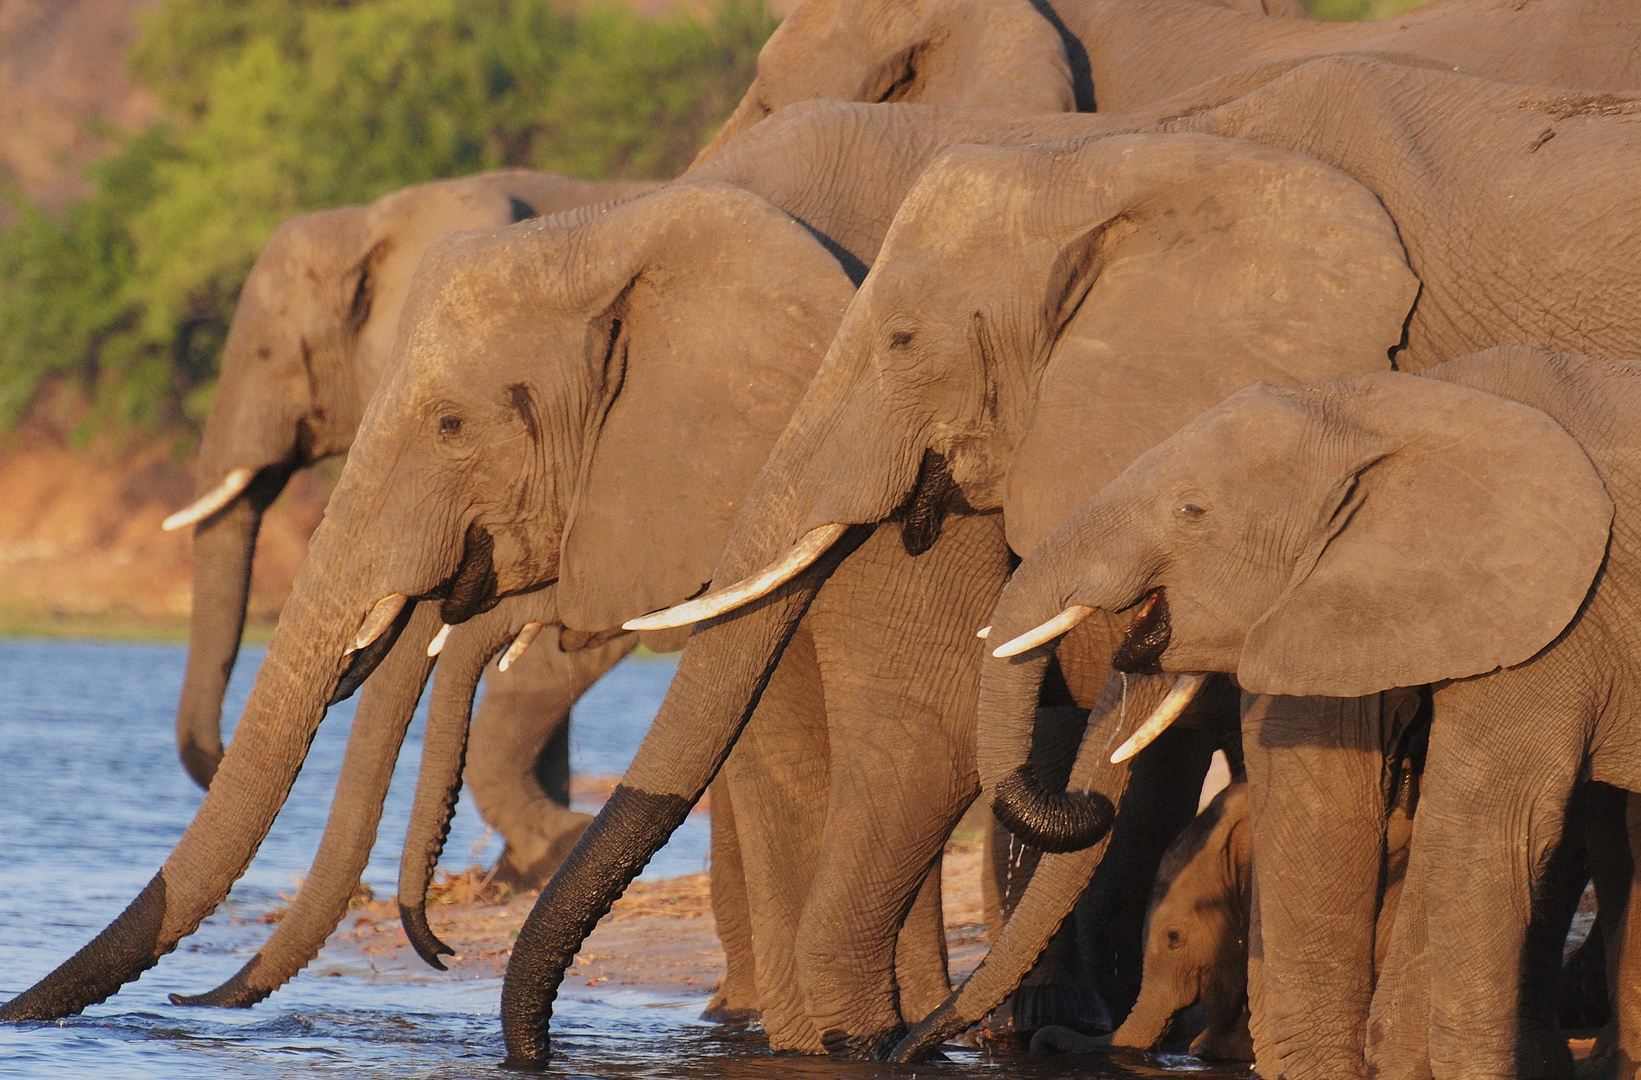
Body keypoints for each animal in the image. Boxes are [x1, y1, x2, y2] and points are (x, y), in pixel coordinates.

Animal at [958, 343, 1641, 1076]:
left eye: (1192, 511)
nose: (1086, 802)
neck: (1381, 409)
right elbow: (1345, 808)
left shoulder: (1559, 619)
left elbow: (1480, 829)